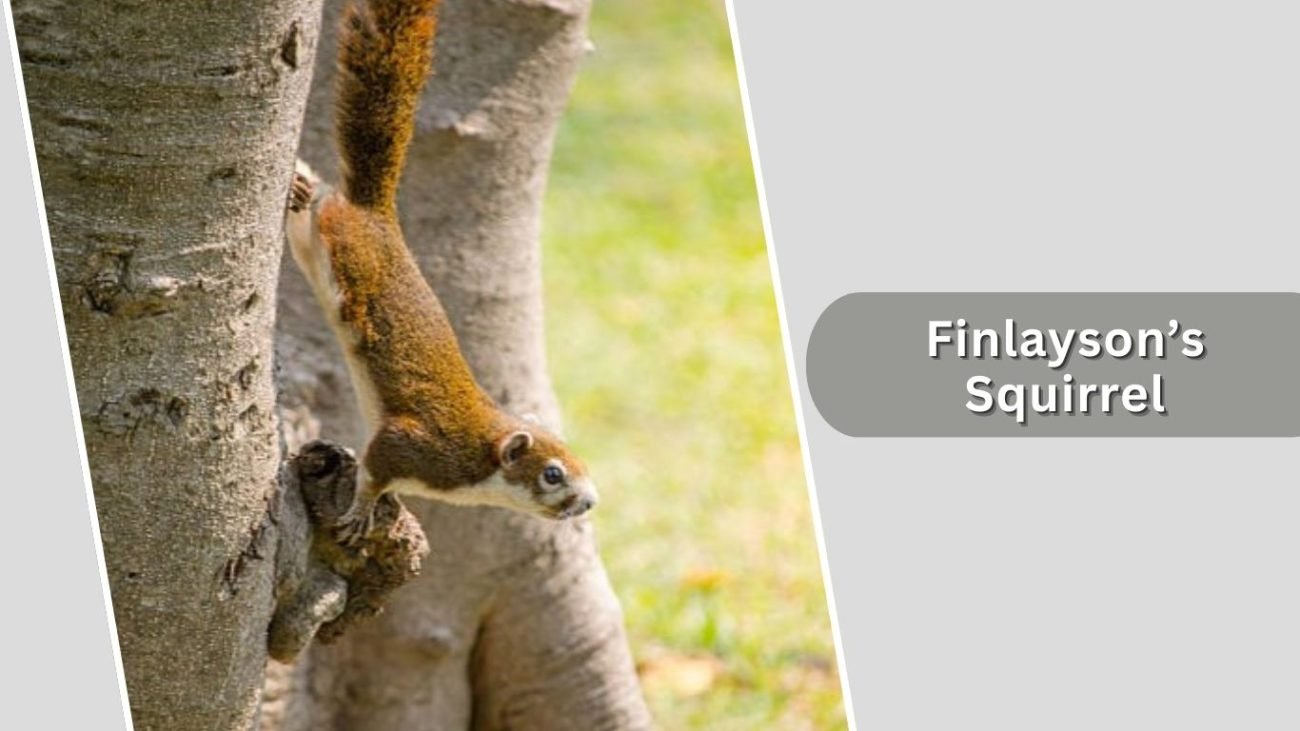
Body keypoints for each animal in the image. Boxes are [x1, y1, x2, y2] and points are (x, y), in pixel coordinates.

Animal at [285, 0, 598, 544]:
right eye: (553, 473)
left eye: (578, 459)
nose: (589, 502)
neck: (482, 456)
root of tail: (378, 215)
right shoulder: (415, 447)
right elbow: (375, 469)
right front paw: (362, 511)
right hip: (343, 247)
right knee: (326, 205)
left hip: (313, 244)